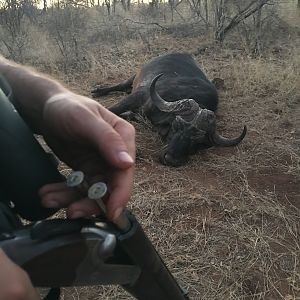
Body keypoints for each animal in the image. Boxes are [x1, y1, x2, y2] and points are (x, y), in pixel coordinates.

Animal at [91, 53, 246, 166]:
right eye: (177, 125)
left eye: (198, 140)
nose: (171, 159)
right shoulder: (138, 96)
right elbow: (113, 110)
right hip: (133, 78)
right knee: (122, 85)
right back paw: (98, 91)